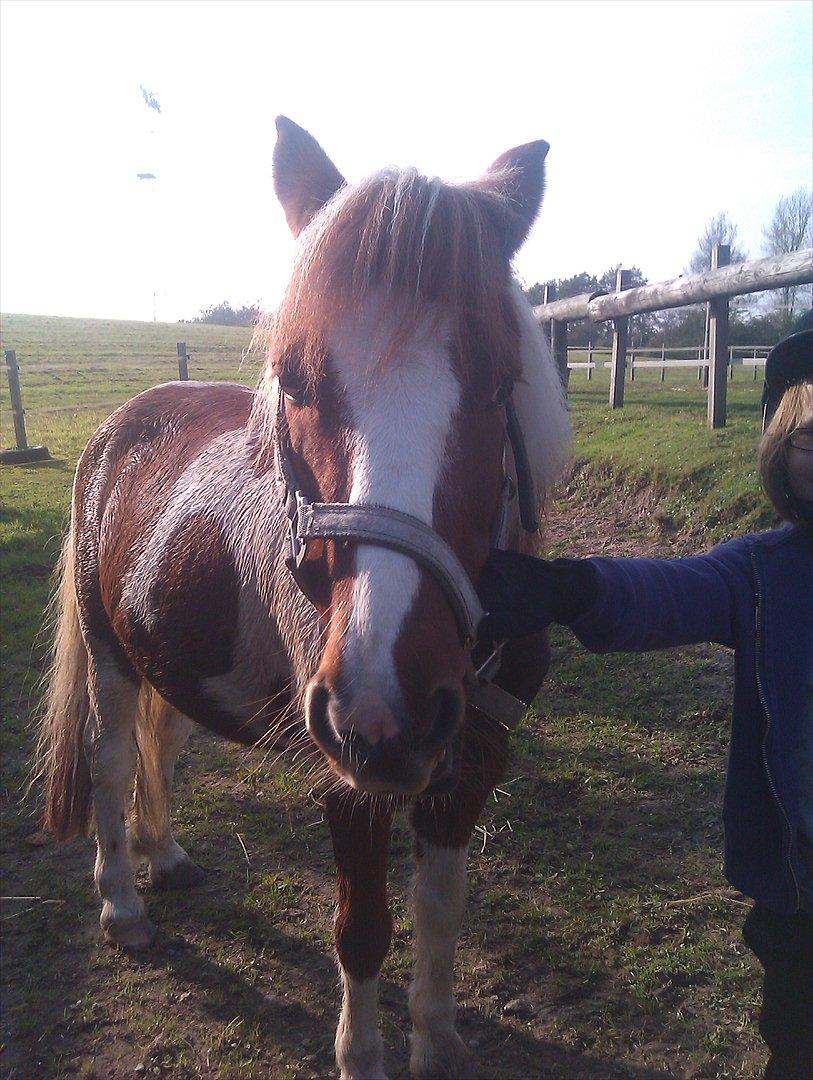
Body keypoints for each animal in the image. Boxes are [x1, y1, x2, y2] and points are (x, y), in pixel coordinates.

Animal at [38, 118, 565, 1080]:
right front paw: (361, 1055)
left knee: (162, 741)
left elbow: (440, 915)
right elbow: (363, 931)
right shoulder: (349, 779)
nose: (383, 702)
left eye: (496, 376)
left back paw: (163, 854)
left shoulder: (471, 762)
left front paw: (437, 1045)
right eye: (294, 379)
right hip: (108, 656)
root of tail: (122, 425)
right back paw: (124, 903)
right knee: (111, 761)